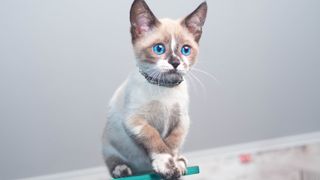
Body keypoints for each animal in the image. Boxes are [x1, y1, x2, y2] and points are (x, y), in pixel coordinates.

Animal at [102, 0, 208, 179]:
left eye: (185, 50)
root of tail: (142, 170)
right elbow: (154, 136)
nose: (175, 63)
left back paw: (181, 162)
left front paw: (174, 165)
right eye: (159, 49)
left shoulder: (182, 121)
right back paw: (122, 169)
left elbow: (172, 143)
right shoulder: (134, 120)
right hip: (109, 146)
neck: (164, 87)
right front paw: (165, 164)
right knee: (114, 164)